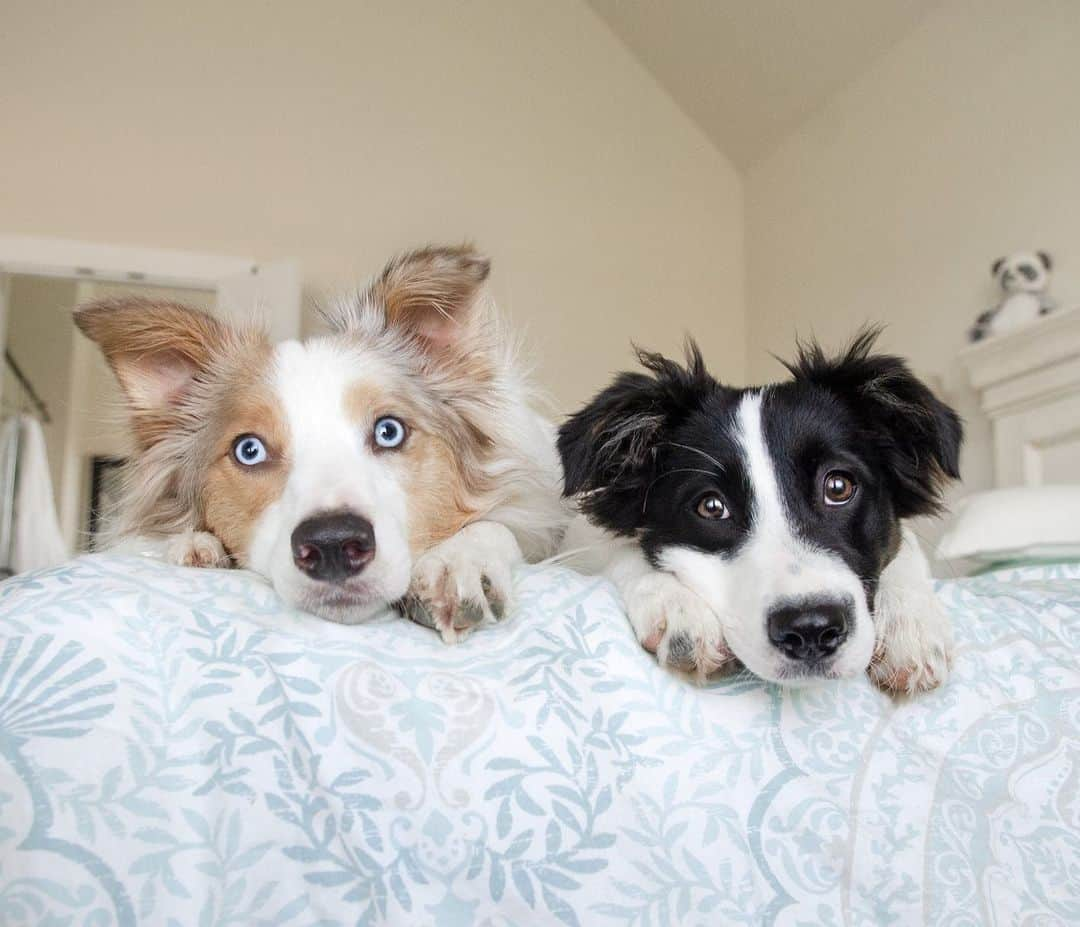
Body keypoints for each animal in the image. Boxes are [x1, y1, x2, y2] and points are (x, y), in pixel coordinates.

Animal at [76, 242, 565, 639]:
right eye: (249, 450)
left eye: (389, 430)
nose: (332, 544)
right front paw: (192, 545)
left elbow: (498, 525)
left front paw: (459, 561)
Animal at [557, 328, 963, 691]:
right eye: (711, 506)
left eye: (838, 486)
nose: (811, 629)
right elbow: (618, 550)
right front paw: (676, 606)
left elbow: (904, 543)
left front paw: (911, 625)